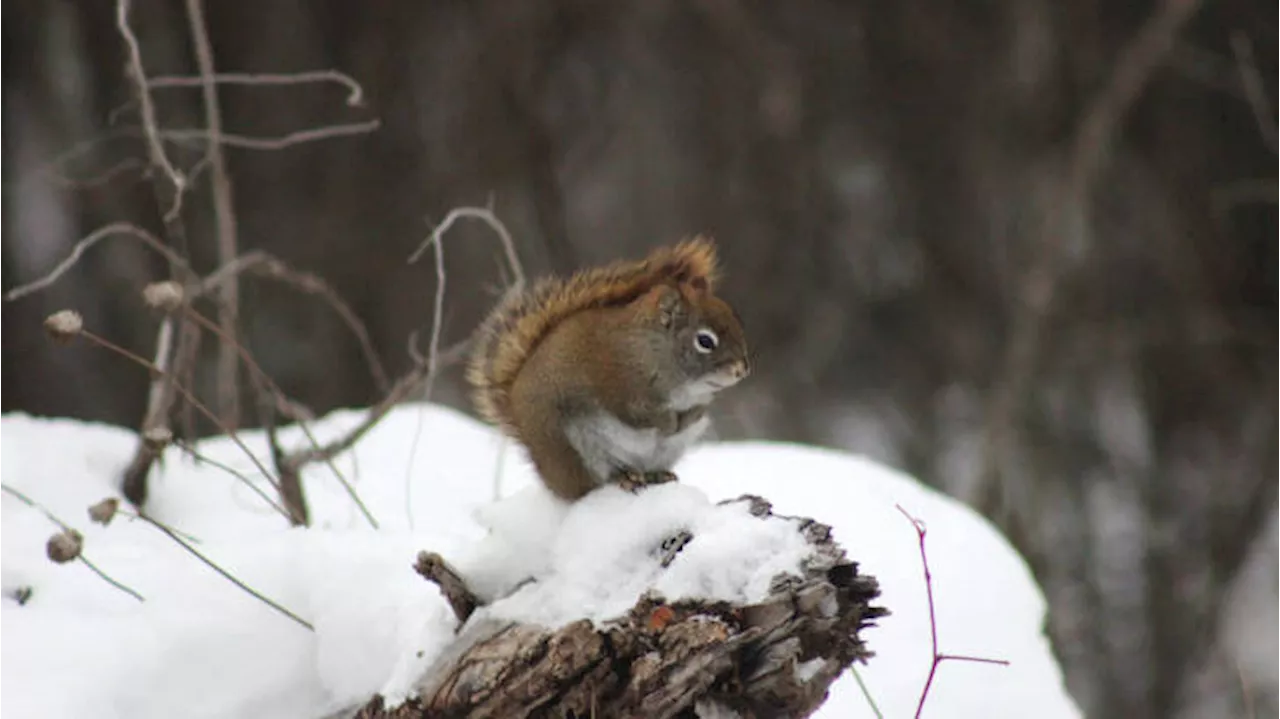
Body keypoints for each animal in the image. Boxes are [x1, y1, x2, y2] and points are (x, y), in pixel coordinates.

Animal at [468, 235, 747, 498]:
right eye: (705, 341)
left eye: (735, 320)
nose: (742, 370)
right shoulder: (620, 389)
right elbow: (641, 414)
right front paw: (668, 423)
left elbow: (697, 412)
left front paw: (687, 418)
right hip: (577, 448)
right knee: (594, 484)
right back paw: (623, 478)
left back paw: (658, 474)